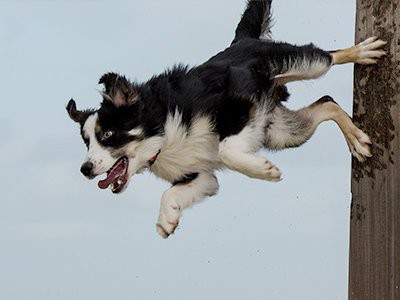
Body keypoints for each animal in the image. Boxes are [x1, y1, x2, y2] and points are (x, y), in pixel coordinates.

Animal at [67, 0, 386, 239]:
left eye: (108, 135)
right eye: (86, 142)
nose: (84, 169)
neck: (162, 129)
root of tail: (242, 40)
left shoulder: (239, 100)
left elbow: (226, 149)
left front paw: (264, 170)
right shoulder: (200, 176)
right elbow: (173, 193)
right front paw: (166, 219)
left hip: (299, 64)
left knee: (327, 56)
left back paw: (363, 51)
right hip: (283, 132)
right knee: (327, 104)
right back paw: (357, 141)